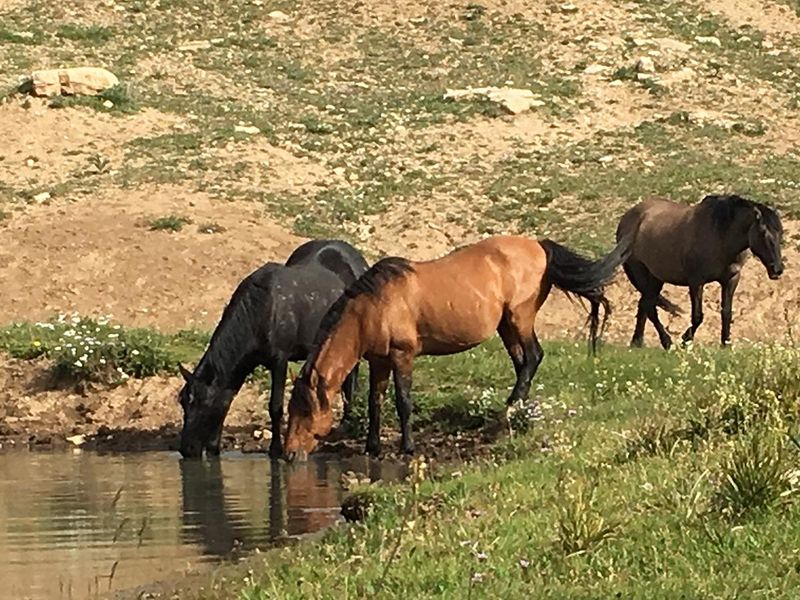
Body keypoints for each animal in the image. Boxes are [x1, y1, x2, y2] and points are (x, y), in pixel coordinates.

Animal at [177, 239, 368, 460]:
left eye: (203, 405)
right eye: (183, 403)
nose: (187, 449)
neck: (260, 311)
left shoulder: (279, 360)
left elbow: (275, 407)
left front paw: (276, 449)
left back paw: (348, 421)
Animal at [282, 232, 632, 462]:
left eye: (303, 410)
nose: (288, 454)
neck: (374, 306)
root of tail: (539, 247)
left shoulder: (402, 356)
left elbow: (403, 401)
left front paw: (407, 447)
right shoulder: (379, 361)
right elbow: (375, 402)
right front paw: (372, 447)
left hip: (519, 318)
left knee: (533, 357)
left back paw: (511, 406)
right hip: (506, 327)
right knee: (523, 363)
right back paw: (515, 407)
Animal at [620, 195, 780, 350]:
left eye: (779, 233)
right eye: (762, 233)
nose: (777, 269)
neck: (720, 237)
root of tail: (628, 217)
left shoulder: (731, 279)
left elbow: (726, 312)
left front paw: (726, 344)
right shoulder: (696, 281)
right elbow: (698, 316)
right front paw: (685, 340)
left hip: (655, 277)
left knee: (644, 305)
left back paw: (637, 342)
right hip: (641, 272)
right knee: (649, 307)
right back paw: (666, 342)